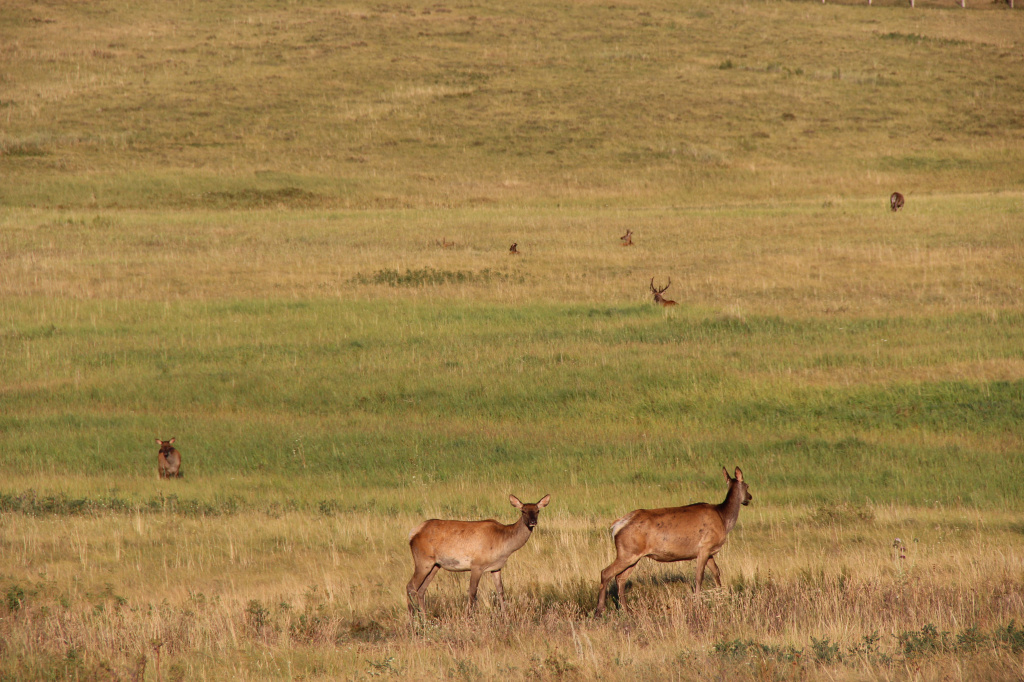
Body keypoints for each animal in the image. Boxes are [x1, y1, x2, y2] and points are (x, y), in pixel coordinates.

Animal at [407, 491, 552, 614]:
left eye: (537, 510)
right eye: (523, 511)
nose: (533, 522)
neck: (504, 545)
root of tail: (413, 533)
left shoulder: (496, 567)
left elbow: (500, 591)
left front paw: (505, 616)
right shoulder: (477, 565)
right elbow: (472, 593)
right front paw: (467, 617)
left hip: (435, 565)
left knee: (421, 590)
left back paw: (425, 618)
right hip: (423, 561)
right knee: (410, 587)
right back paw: (413, 621)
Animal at [593, 464, 753, 614]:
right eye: (747, 485)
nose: (749, 498)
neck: (723, 518)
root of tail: (616, 526)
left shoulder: (709, 552)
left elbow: (716, 572)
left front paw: (721, 595)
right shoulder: (704, 546)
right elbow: (699, 576)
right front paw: (698, 601)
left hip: (633, 554)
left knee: (620, 578)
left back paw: (626, 610)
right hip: (627, 552)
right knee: (605, 573)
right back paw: (600, 609)